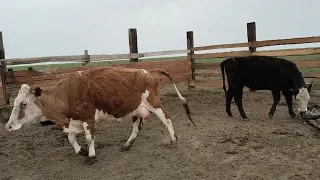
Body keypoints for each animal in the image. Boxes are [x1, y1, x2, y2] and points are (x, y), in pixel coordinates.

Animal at [5, 66, 195, 165]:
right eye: (15, 103)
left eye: (23, 104)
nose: (8, 126)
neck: (66, 95)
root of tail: (149, 72)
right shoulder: (74, 121)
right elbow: (71, 139)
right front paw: (80, 151)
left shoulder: (88, 119)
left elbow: (89, 139)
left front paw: (91, 156)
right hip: (136, 110)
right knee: (137, 127)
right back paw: (127, 145)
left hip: (153, 103)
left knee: (167, 119)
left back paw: (173, 140)